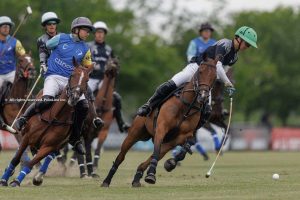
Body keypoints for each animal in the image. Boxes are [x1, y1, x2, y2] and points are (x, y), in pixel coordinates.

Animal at [0, 59, 91, 188]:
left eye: (87, 80)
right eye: (72, 75)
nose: (74, 97)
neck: (53, 117)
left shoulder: (49, 145)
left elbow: (31, 163)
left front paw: (17, 181)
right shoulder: (27, 137)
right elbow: (16, 158)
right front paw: (4, 179)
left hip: (60, 143)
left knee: (49, 157)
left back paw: (38, 177)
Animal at [101, 56, 218, 188]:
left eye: (214, 76)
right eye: (201, 71)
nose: (203, 96)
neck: (187, 106)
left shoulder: (181, 137)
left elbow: (165, 152)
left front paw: (167, 165)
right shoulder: (161, 128)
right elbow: (156, 151)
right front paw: (151, 174)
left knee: (152, 157)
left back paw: (137, 178)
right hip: (134, 134)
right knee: (121, 157)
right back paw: (106, 180)